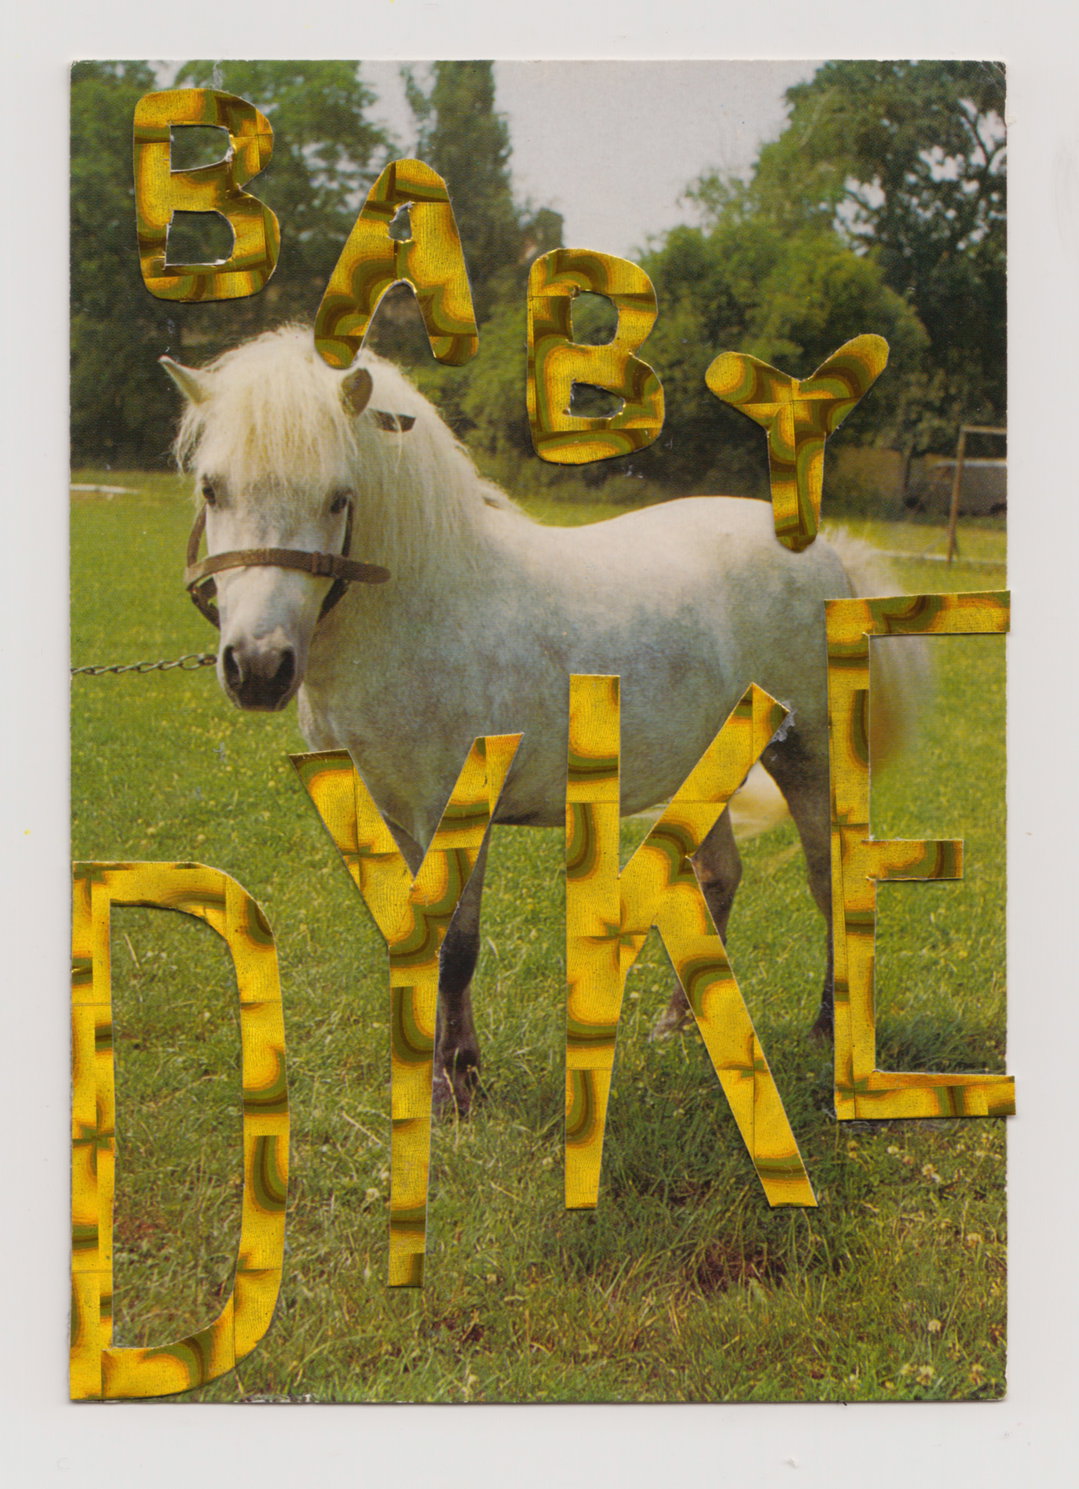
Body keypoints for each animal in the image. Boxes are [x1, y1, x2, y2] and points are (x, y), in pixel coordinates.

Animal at [162, 324, 924, 1113]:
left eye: (339, 498)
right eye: (211, 488)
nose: (258, 668)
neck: (423, 608)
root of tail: (827, 553)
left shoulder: (454, 807)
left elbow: (456, 946)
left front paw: (457, 1086)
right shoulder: (390, 812)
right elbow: (417, 936)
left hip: (806, 756)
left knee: (829, 880)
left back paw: (826, 1031)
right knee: (717, 878)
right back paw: (677, 1027)